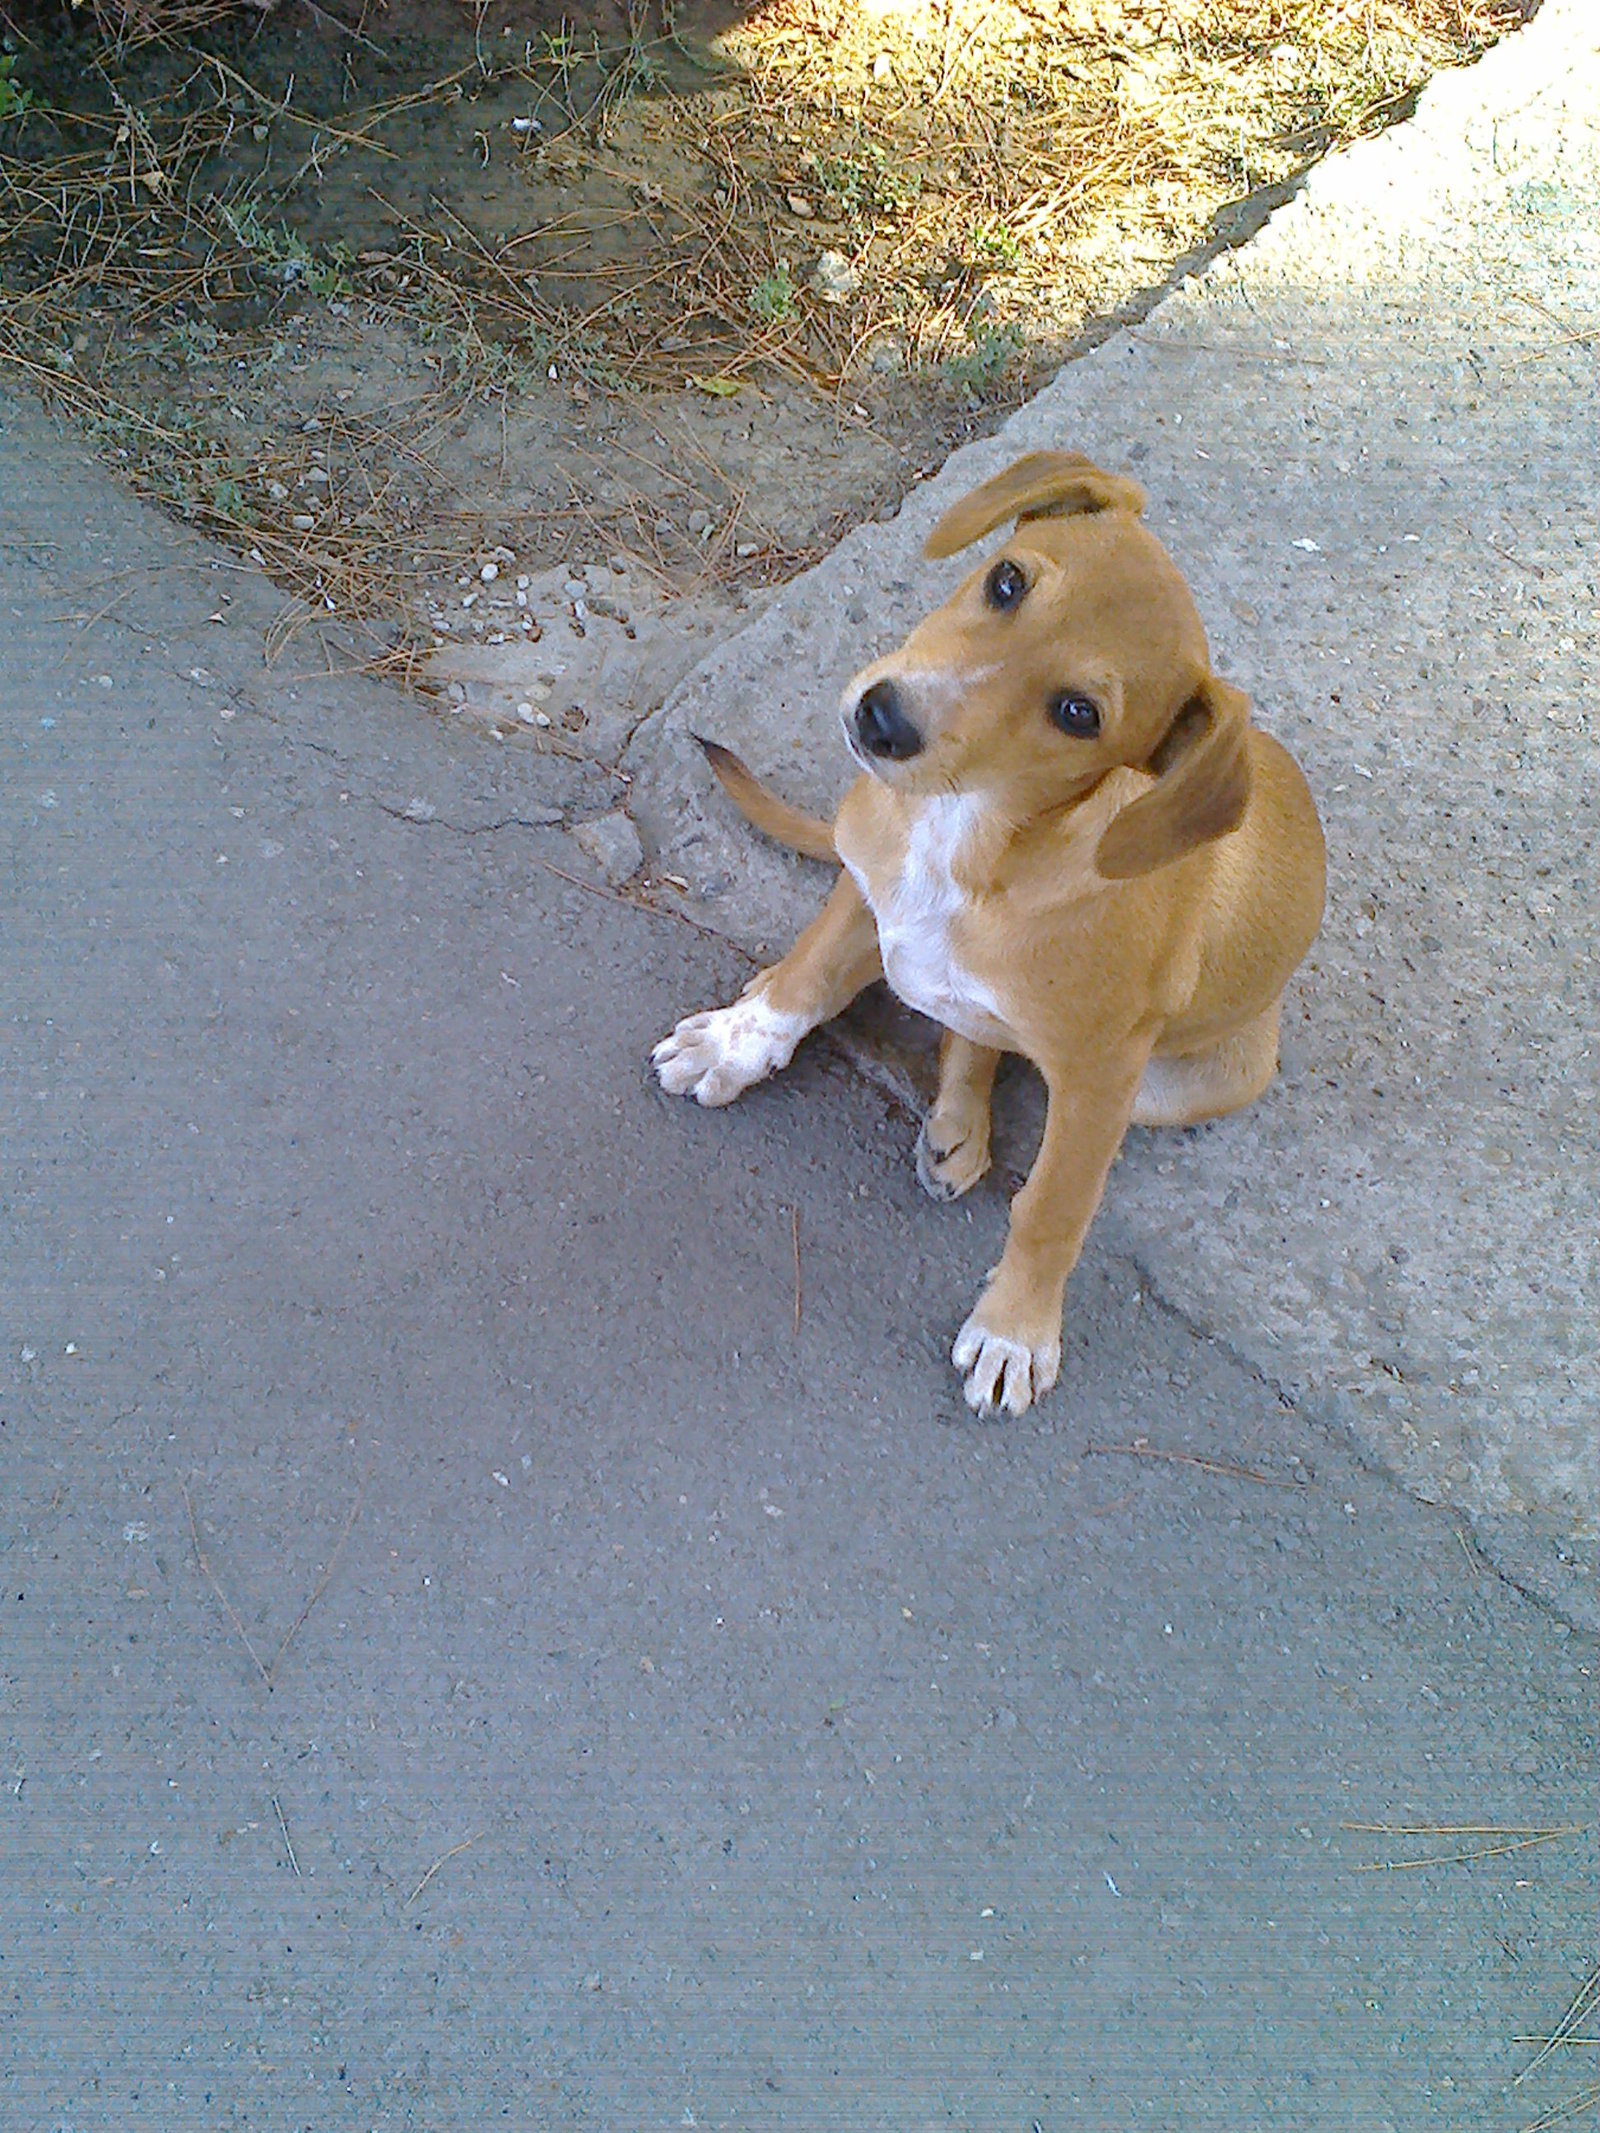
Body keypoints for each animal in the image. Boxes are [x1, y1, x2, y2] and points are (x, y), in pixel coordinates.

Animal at [652, 452, 1331, 1416]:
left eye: (1080, 713)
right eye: (1007, 581)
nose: (884, 720)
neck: (967, 839)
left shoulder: (1101, 1076)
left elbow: (1052, 1208)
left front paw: (1016, 1330)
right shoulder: (866, 886)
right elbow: (807, 976)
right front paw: (736, 1042)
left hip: (1185, 1083)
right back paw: (951, 1116)